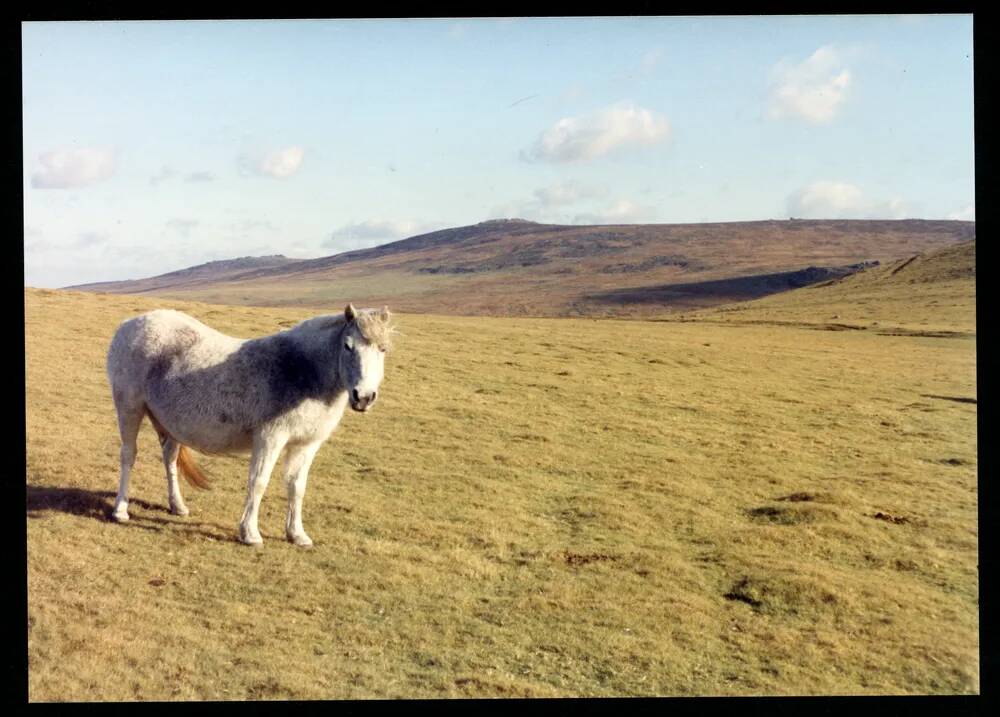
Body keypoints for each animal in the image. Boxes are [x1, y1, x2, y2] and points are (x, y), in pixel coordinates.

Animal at [105, 300, 392, 544]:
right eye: (348, 346)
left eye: (383, 349)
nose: (363, 397)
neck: (302, 371)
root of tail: (129, 324)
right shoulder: (270, 438)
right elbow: (258, 482)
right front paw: (250, 533)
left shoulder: (307, 444)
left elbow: (297, 487)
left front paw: (297, 534)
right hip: (130, 409)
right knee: (129, 455)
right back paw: (121, 510)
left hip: (171, 423)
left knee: (170, 458)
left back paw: (178, 506)